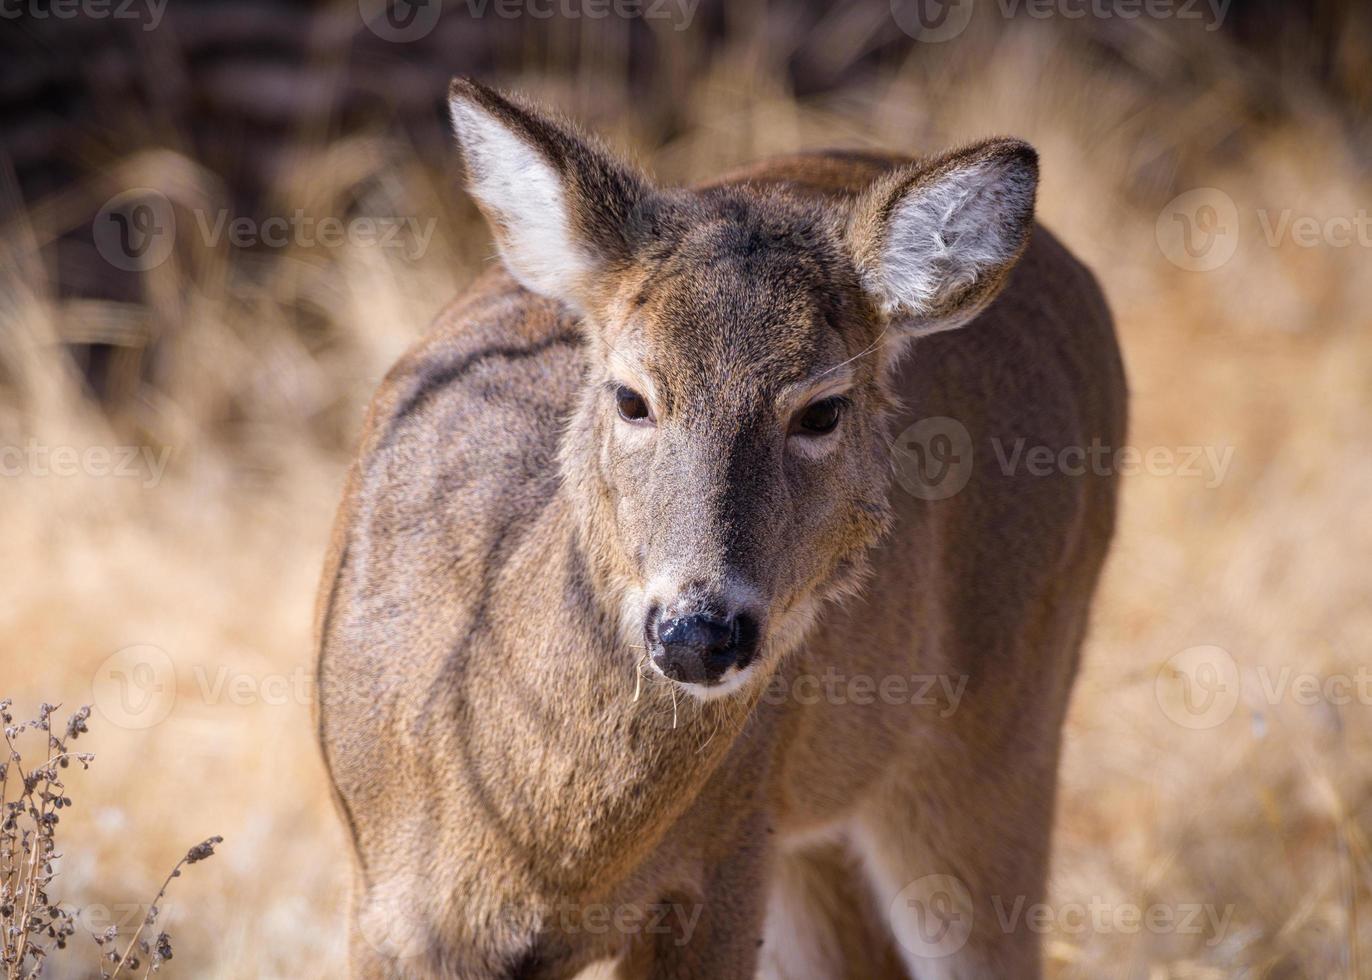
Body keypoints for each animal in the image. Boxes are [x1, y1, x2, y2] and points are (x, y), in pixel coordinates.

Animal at [318, 78, 1125, 977]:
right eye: (631, 396)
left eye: (822, 410)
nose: (699, 632)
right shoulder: (376, 903)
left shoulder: (730, 859)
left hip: (999, 726)